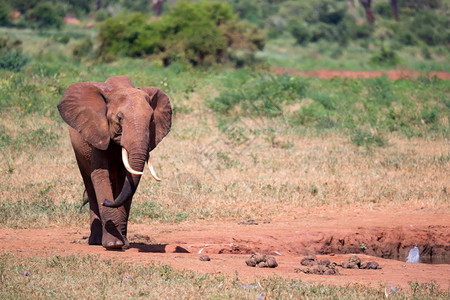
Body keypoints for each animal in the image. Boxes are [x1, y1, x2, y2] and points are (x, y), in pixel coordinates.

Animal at [57, 76, 172, 250]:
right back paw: (95, 241)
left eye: (152, 119)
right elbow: (99, 174)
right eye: (119, 118)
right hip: (78, 149)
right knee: (90, 185)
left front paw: (123, 244)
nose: (107, 201)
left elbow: (125, 179)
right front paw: (113, 245)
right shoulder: (98, 132)